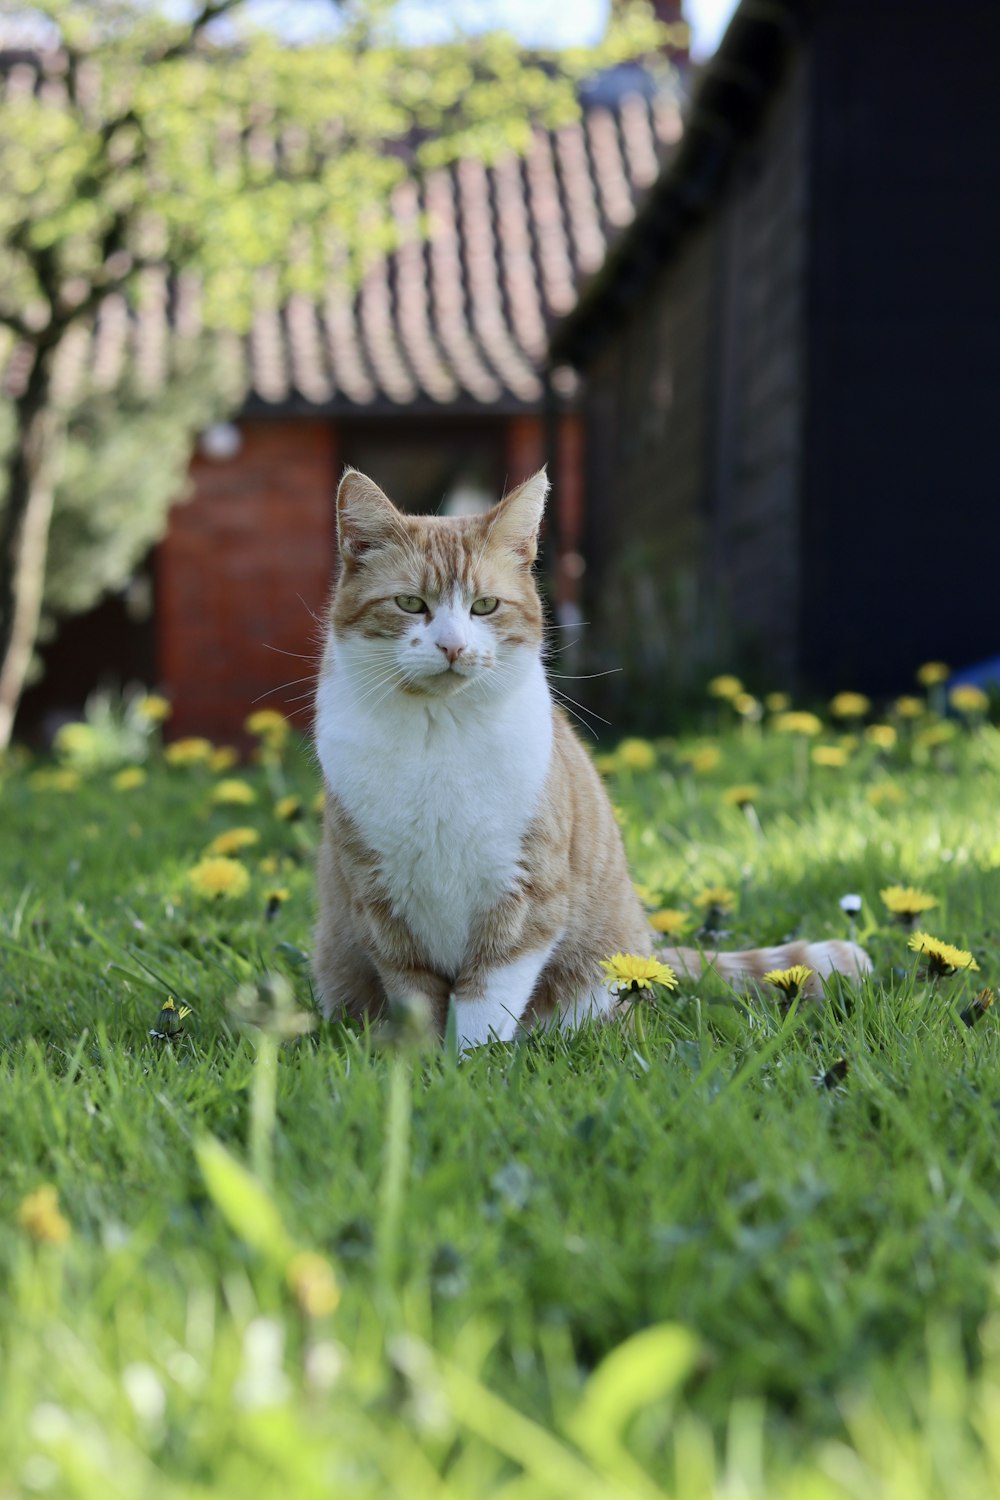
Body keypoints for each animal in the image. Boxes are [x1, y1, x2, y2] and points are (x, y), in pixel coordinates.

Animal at [316, 471, 869, 1056]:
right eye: (409, 603)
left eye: (485, 606)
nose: (452, 646)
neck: (437, 739)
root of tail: (645, 945)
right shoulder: (382, 906)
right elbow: (416, 998)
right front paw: (419, 1066)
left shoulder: (525, 896)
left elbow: (485, 999)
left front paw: (471, 1064)